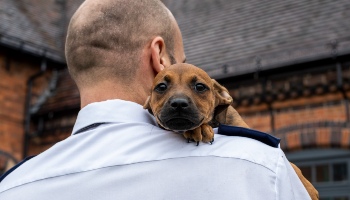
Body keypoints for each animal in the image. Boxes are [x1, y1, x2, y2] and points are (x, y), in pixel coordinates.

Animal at [144, 63, 318, 199]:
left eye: (199, 86)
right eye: (161, 87)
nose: (179, 103)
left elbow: (294, 166)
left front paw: (308, 188)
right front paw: (198, 129)